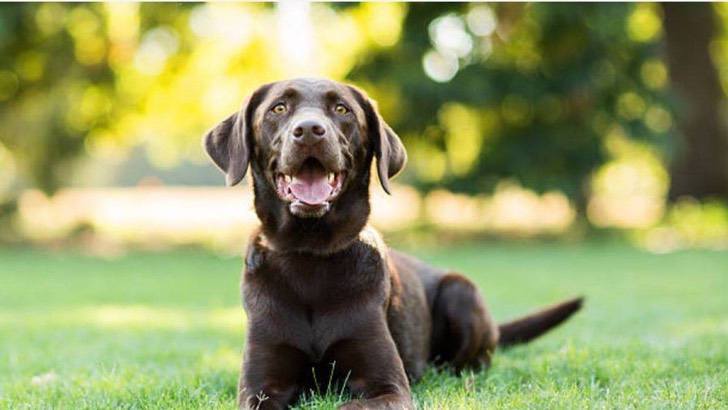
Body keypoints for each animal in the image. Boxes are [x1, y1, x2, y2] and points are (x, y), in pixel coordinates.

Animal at [202, 77, 584, 410]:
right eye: (278, 108)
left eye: (341, 109)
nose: (309, 130)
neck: (310, 255)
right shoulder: (260, 387)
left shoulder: (388, 386)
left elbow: (351, 405)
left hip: (461, 291)